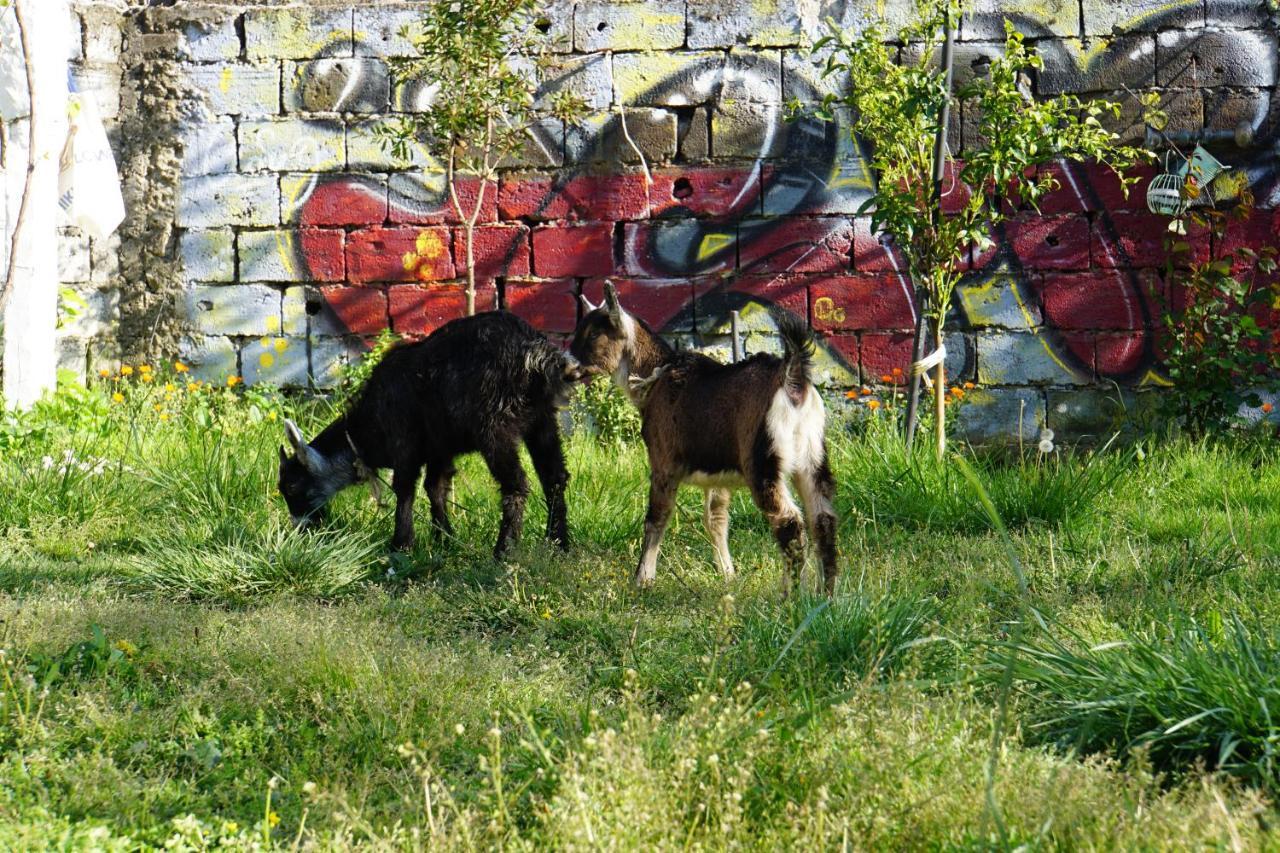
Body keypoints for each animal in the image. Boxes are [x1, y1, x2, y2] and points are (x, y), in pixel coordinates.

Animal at [277, 308, 586, 555]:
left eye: (292, 486)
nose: (299, 529)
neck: (366, 429)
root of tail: (538, 353)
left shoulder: (404, 442)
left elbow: (405, 488)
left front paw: (401, 545)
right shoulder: (439, 449)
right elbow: (435, 487)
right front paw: (444, 538)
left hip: (494, 428)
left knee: (516, 484)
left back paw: (504, 551)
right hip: (542, 419)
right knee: (554, 477)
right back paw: (558, 544)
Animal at [573, 281, 839, 594]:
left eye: (593, 334)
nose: (567, 364)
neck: (656, 376)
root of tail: (792, 377)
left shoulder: (663, 462)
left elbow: (657, 516)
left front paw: (642, 579)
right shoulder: (718, 474)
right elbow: (716, 518)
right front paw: (728, 575)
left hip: (763, 461)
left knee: (789, 522)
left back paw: (790, 594)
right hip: (812, 455)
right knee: (823, 519)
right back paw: (827, 594)